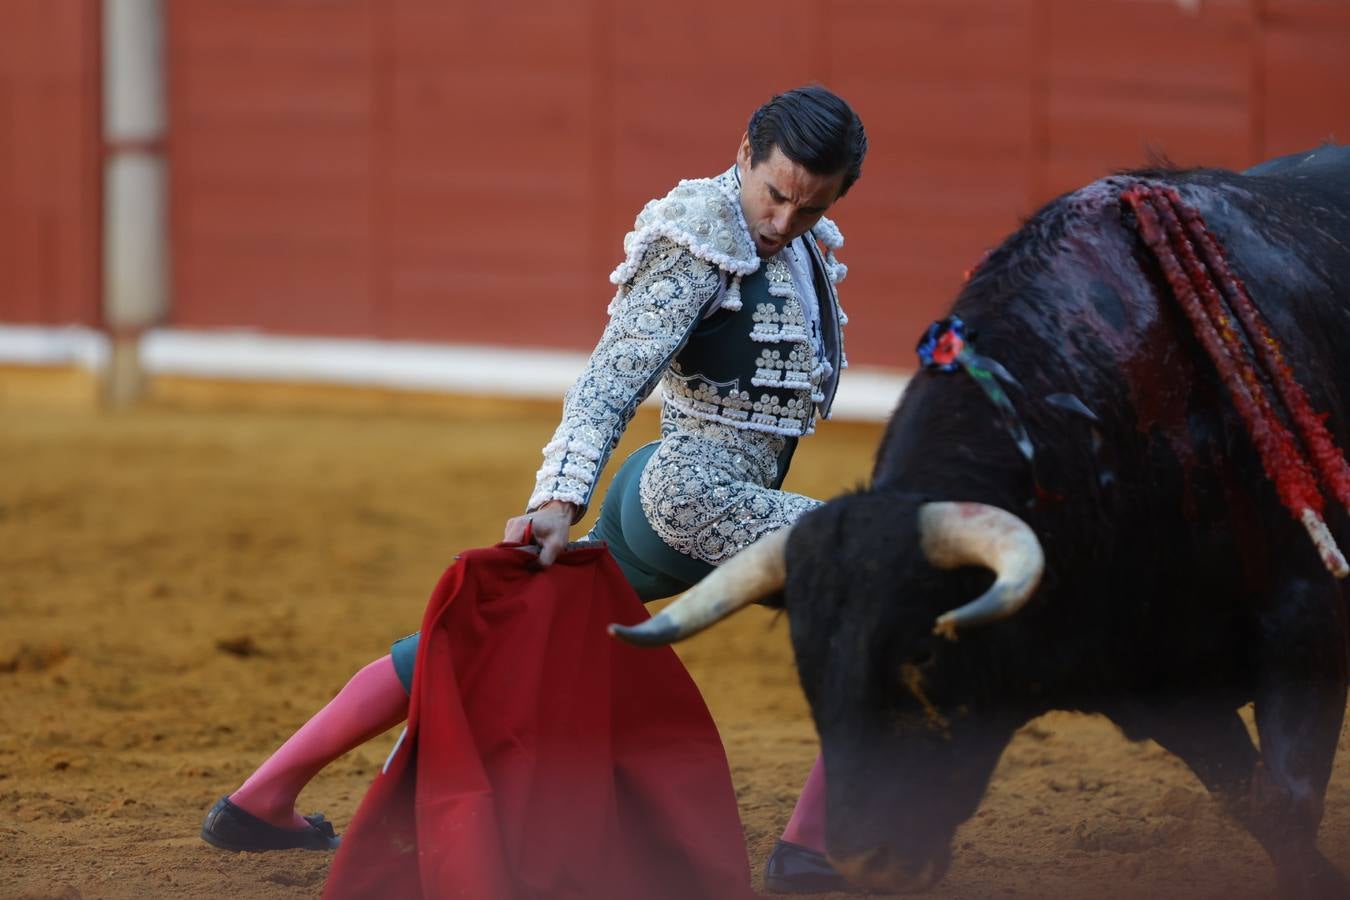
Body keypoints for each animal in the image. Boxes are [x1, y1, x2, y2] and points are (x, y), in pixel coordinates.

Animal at [615, 146, 1350, 895]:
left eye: (924, 655)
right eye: (809, 667)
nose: (865, 859)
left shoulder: (1304, 613)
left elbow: (1282, 802)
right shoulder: (1156, 684)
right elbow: (1251, 798)